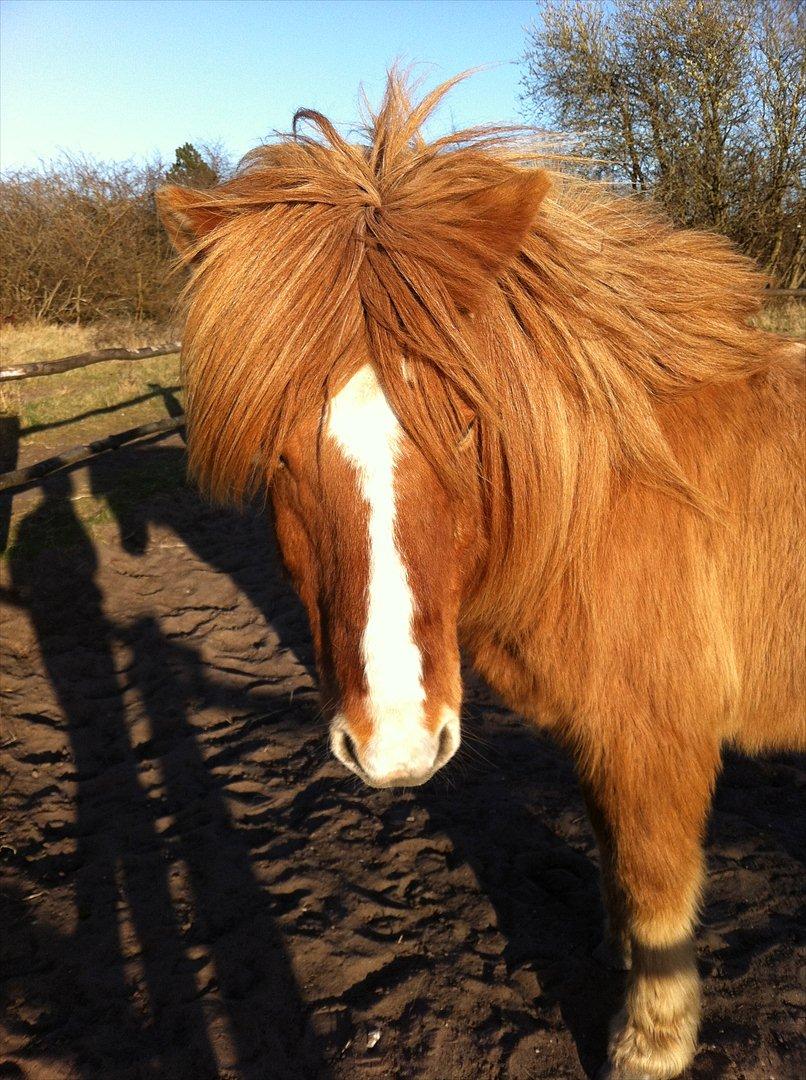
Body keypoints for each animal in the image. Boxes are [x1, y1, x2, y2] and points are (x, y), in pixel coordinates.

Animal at [153, 73, 799, 1080]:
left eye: (463, 422)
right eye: (282, 455)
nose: (396, 746)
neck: (607, 501)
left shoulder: (658, 744)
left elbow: (655, 890)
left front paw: (646, 1045)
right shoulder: (600, 739)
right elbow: (615, 870)